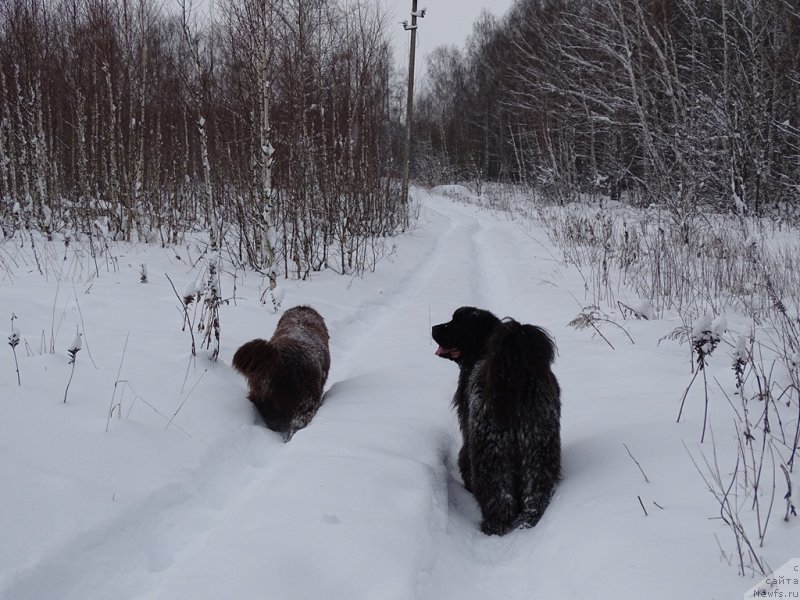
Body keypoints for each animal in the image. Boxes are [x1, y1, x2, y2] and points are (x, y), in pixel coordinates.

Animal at [434, 308, 560, 532]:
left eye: (456, 322)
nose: (433, 328)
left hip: (491, 450)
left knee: (497, 491)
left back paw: (495, 525)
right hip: (539, 445)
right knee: (536, 487)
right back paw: (529, 518)